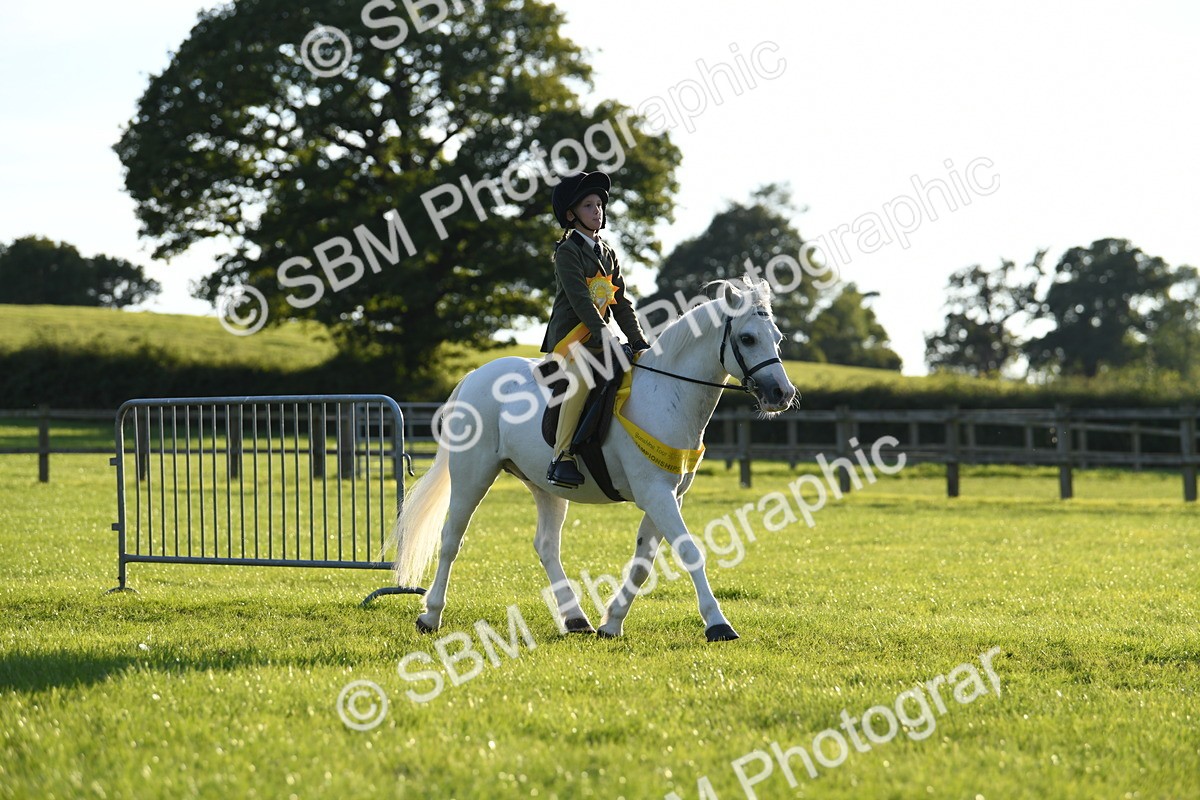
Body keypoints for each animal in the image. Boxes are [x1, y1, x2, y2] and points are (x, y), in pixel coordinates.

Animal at [391, 277, 798, 641]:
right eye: (747, 338)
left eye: (777, 337)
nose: (782, 393)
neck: (667, 393)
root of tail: (475, 375)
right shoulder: (656, 494)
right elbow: (690, 550)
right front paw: (718, 624)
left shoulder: (668, 496)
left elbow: (643, 563)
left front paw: (612, 623)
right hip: (473, 475)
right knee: (451, 539)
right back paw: (430, 616)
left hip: (544, 486)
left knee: (546, 546)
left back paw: (576, 619)